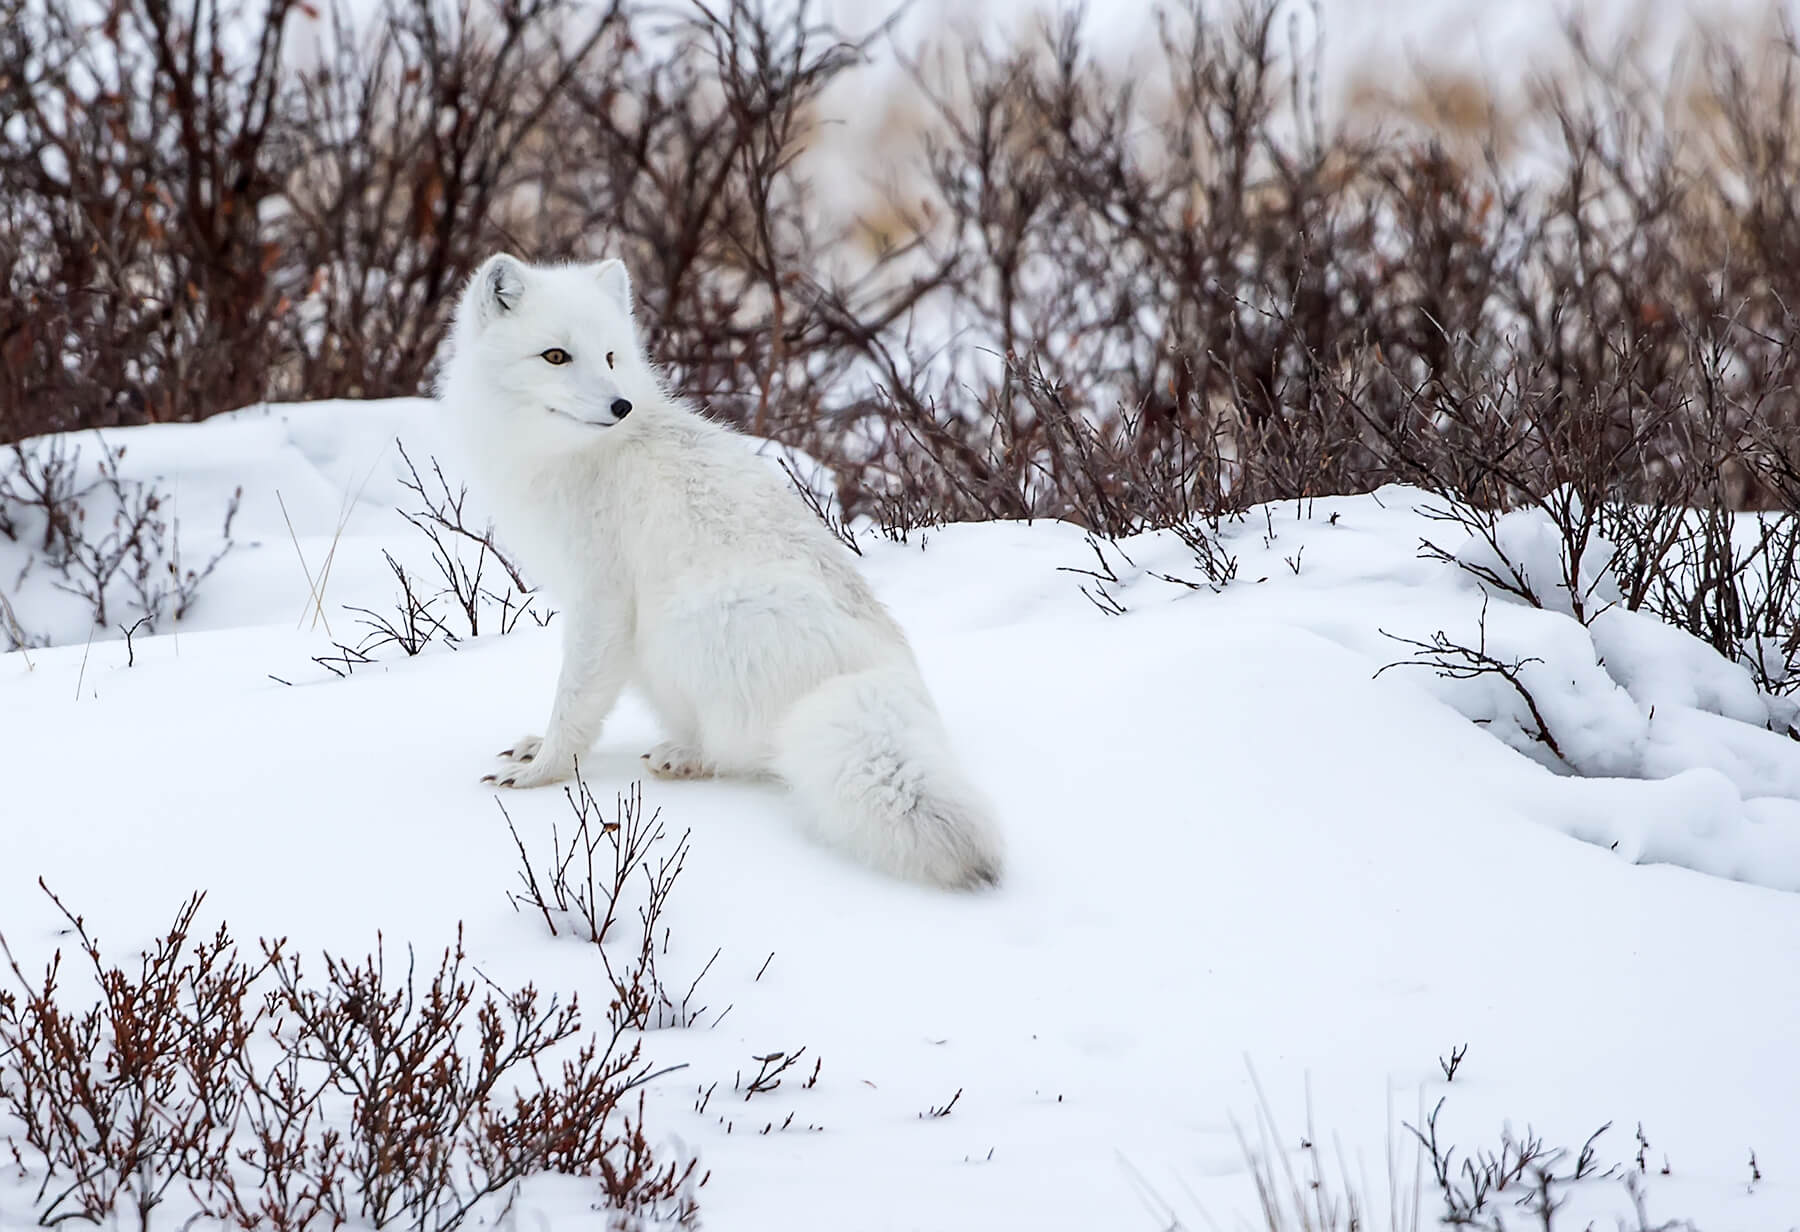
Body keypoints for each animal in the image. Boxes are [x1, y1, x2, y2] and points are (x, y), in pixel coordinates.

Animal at [435, 255, 1000, 886]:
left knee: (747, 750)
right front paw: (536, 751)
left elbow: (575, 698)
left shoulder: (600, 600)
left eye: (610, 357)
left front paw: (546, 771)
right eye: (556, 356)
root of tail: (887, 679)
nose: (620, 406)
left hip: (688, 623)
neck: (565, 458)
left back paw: (691, 756)